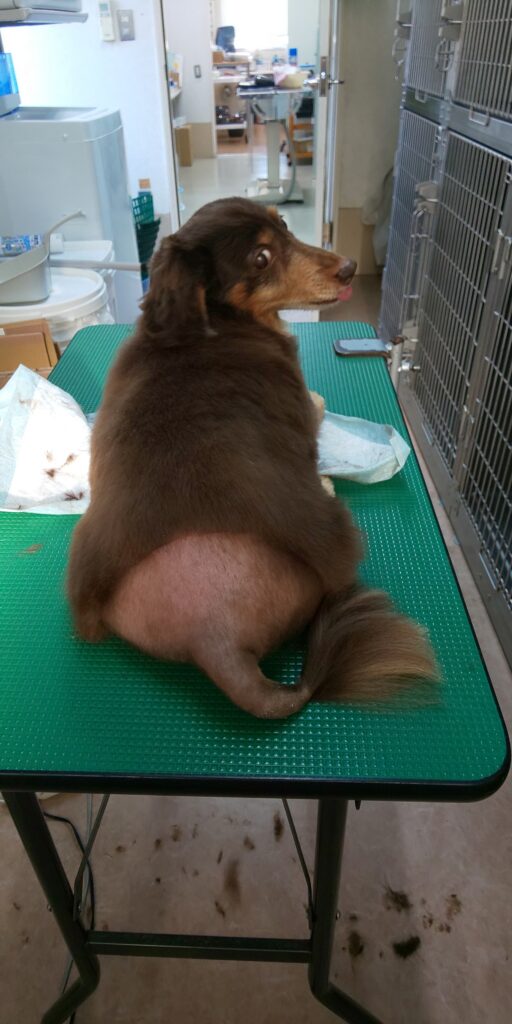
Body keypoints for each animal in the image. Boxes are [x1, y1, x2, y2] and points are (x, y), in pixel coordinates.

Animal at [68, 197, 438, 718]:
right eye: (260, 258)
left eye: (283, 224)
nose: (349, 267)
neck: (215, 323)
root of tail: (213, 639)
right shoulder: (302, 404)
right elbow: (317, 407)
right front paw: (324, 467)